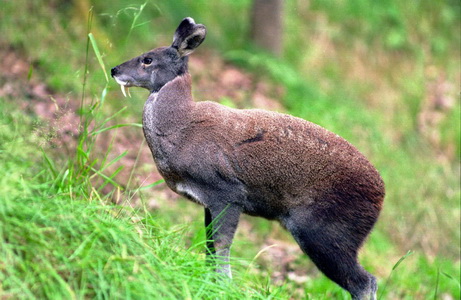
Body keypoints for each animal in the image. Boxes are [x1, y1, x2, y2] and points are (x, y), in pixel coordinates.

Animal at [111, 17, 384, 300]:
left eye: (148, 59)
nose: (113, 69)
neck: (182, 129)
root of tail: (381, 195)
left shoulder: (227, 192)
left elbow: (222, 246)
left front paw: (223, 286)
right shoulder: (208, 201)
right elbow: (210, 247)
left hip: (324, 230)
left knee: (365, 281)